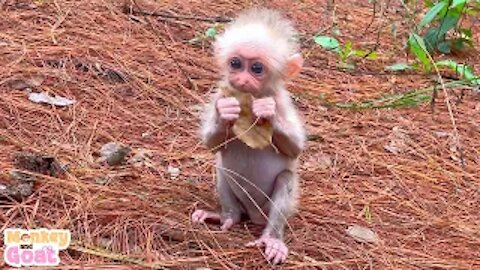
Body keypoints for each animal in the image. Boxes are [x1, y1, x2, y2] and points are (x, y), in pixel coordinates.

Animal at [191, 7, 304, 264]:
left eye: (257, 69)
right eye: (235, 63)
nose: (241, 79)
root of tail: (253, 215)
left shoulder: (281, 100)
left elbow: (296, 148)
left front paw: (267, 113)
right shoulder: (221, 93)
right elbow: (212, 145)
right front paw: (225, 114)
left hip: (266, 210)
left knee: (285, 178)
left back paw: (272, 239)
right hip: (240, 203)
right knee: (222, 166)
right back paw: (227, 217)